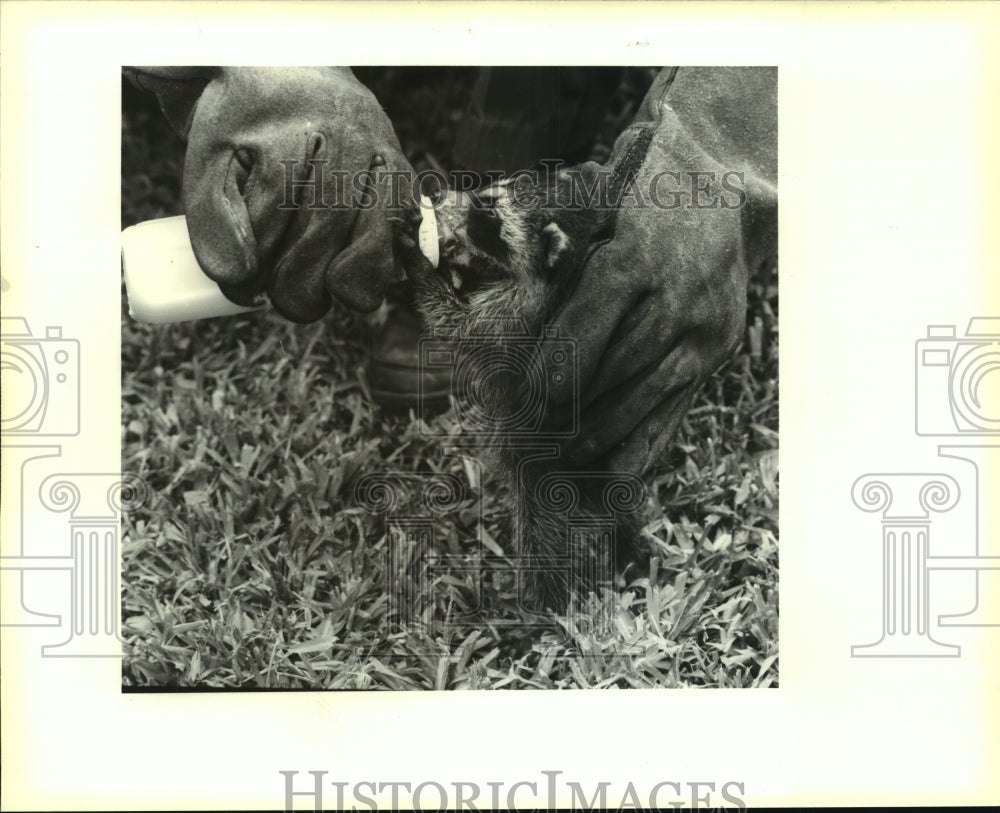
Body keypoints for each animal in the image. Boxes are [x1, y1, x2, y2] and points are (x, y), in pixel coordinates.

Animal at [394, 170, 644, 608]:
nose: (439, 193)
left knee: (540, 546)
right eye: (488, 190)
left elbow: (456, 325)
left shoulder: (512, 322)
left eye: (491, 211)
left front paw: (424, 267)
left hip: (544, 486)